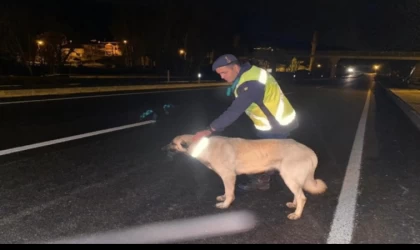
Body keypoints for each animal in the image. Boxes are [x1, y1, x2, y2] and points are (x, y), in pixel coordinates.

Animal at [162, 134, 326, 220]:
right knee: (298, 194)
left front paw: (226, 204)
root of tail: (311, 152)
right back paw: (294, 205)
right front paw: (223, 198)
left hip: (289, 177)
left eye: (172, 143)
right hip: (292, 179)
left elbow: (230, 193)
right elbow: (226, 192)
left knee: (302, 197)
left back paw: (297, 214)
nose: (161, 148)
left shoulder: (228, 176)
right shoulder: (227, 178)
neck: (202, 146)